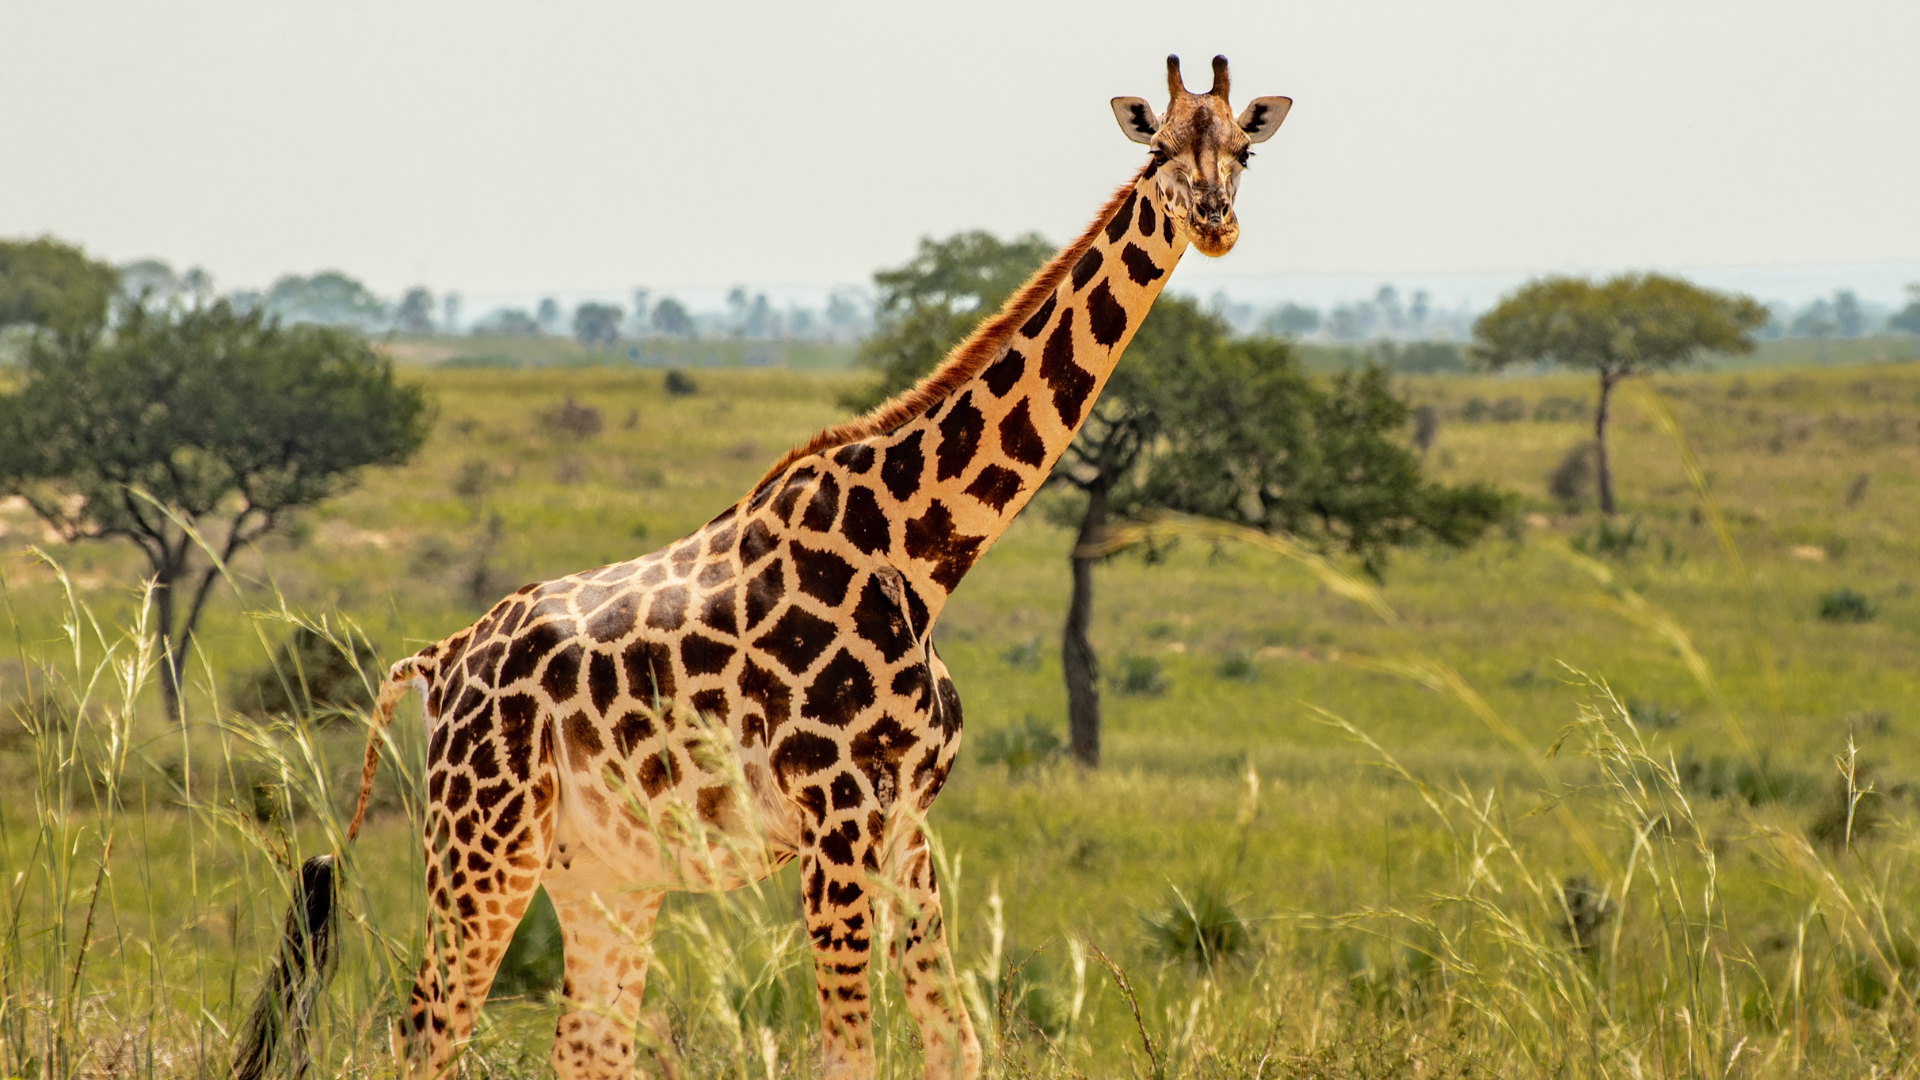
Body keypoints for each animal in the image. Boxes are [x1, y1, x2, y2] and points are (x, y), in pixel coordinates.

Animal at [242, 54, 1290, 1080]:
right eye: (1157, 147)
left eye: (1244, 149)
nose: (1215, 222)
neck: (924, 551)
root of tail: (437, 659)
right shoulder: (837, 818)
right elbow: (849, 1053)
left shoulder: (906, 826)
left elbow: (957, 1044)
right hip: (482, 838)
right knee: (428, 1028)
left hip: (602, 870)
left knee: (584, 1047)